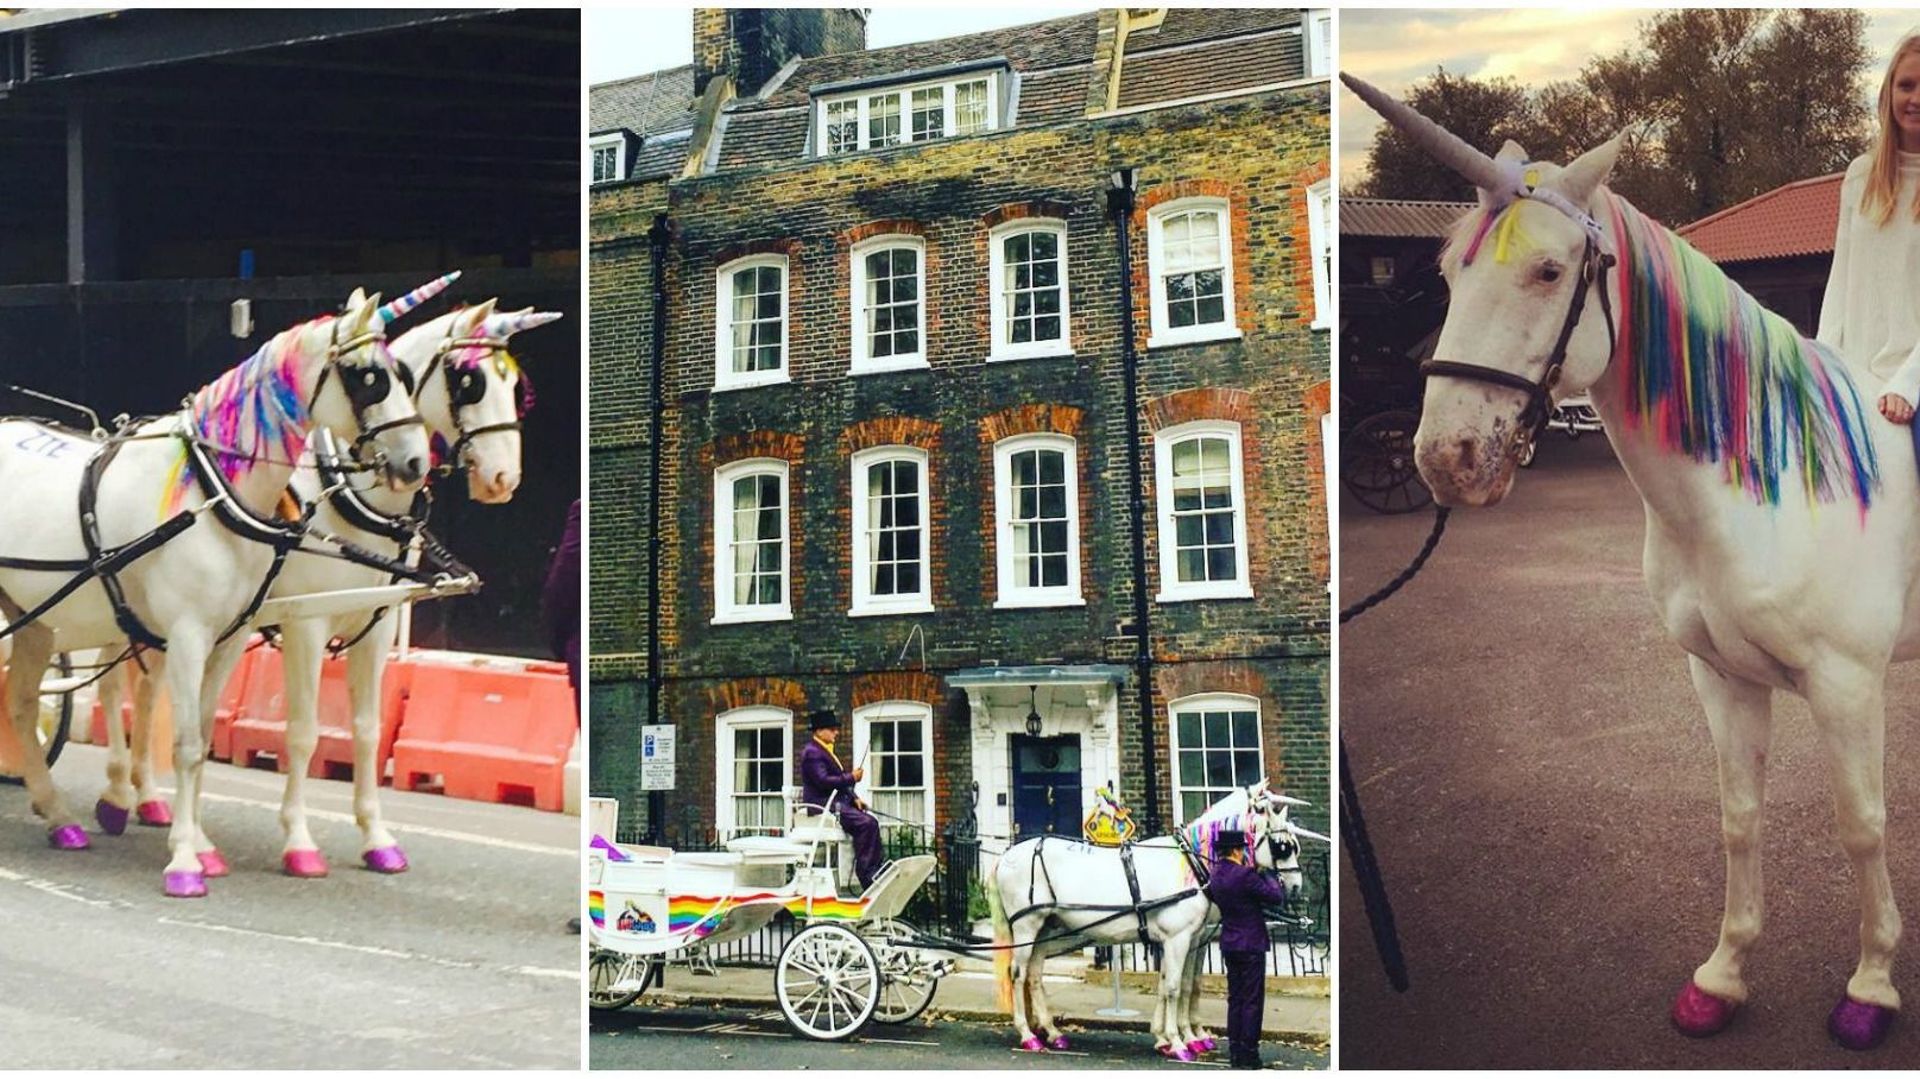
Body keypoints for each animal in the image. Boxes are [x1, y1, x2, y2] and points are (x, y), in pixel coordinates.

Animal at [0, 289, 428, 894]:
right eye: (367, 376)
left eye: (402, 373)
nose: (415, 461)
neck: (209, 490)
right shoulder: (189, 635)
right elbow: (183, 745)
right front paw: (184, 861)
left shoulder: (229, 636)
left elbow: (201, 740)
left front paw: (200, 846)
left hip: (35, 617)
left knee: (19, 702)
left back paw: (59, 815)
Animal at [93, 272, 560, 879]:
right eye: (468, 381)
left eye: (516, 387)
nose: (504, 478)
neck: (348, 491)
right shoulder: (305, 625)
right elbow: (302, 732)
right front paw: (298, 840)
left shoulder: (375, 627)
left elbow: (365, 731)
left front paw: (376, 836)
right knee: (112, 688)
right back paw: (117, 796)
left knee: (147, 694)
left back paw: (148, 798)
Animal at [990, 775, 1320, 1052]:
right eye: (1282, 846)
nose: (1294, 887)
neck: (1192, 862)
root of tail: (1006, 856)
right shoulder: (1178, 938)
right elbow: (1173, 987)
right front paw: (1178, 1041)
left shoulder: (1193, 939)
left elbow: (1183, 984)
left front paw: (1175, 1036)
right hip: (1026, 926)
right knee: (1017, 975)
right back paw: (1028, 1034)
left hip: (1043, 926)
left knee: (1034, 976)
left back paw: (1052, 1032)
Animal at [1344, 71, 1912, 1044]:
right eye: (1450, 274)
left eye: (1548, 270)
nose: (1446, 458)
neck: (1768, 493)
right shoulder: (1723, 679)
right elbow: (1739, 817)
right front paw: (1723, 976)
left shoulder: (1847, 687)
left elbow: (1862, 825)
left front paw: (1870, 986)